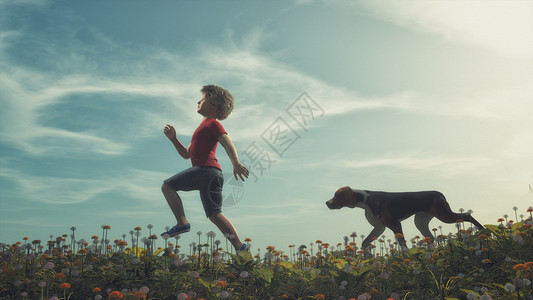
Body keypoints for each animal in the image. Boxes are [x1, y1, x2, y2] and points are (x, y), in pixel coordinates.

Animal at [324, 188, 482, 248]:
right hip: (420, 221)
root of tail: (437, 193)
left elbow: (403, 245)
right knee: (431, 238)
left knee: (467, 215)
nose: (326, 203)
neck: (366, 200)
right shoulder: (379, 228)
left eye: (337, 195)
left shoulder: (395, 225)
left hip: (445, 216)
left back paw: (482, 230)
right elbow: (365, 243)